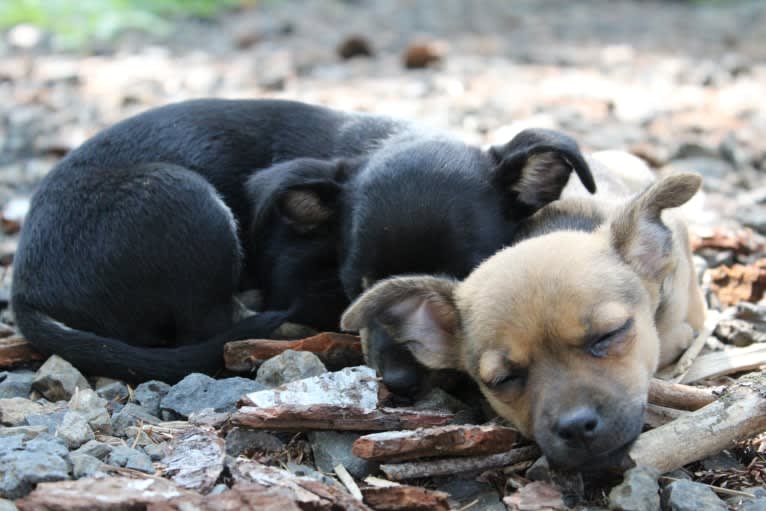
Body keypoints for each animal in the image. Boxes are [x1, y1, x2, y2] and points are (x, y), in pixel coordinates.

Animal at [13, 99, 600, 384]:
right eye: (359, 286)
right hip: (186, 199)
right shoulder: (293, 275)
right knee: (208, 326)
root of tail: (23, 290)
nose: (402, 381)